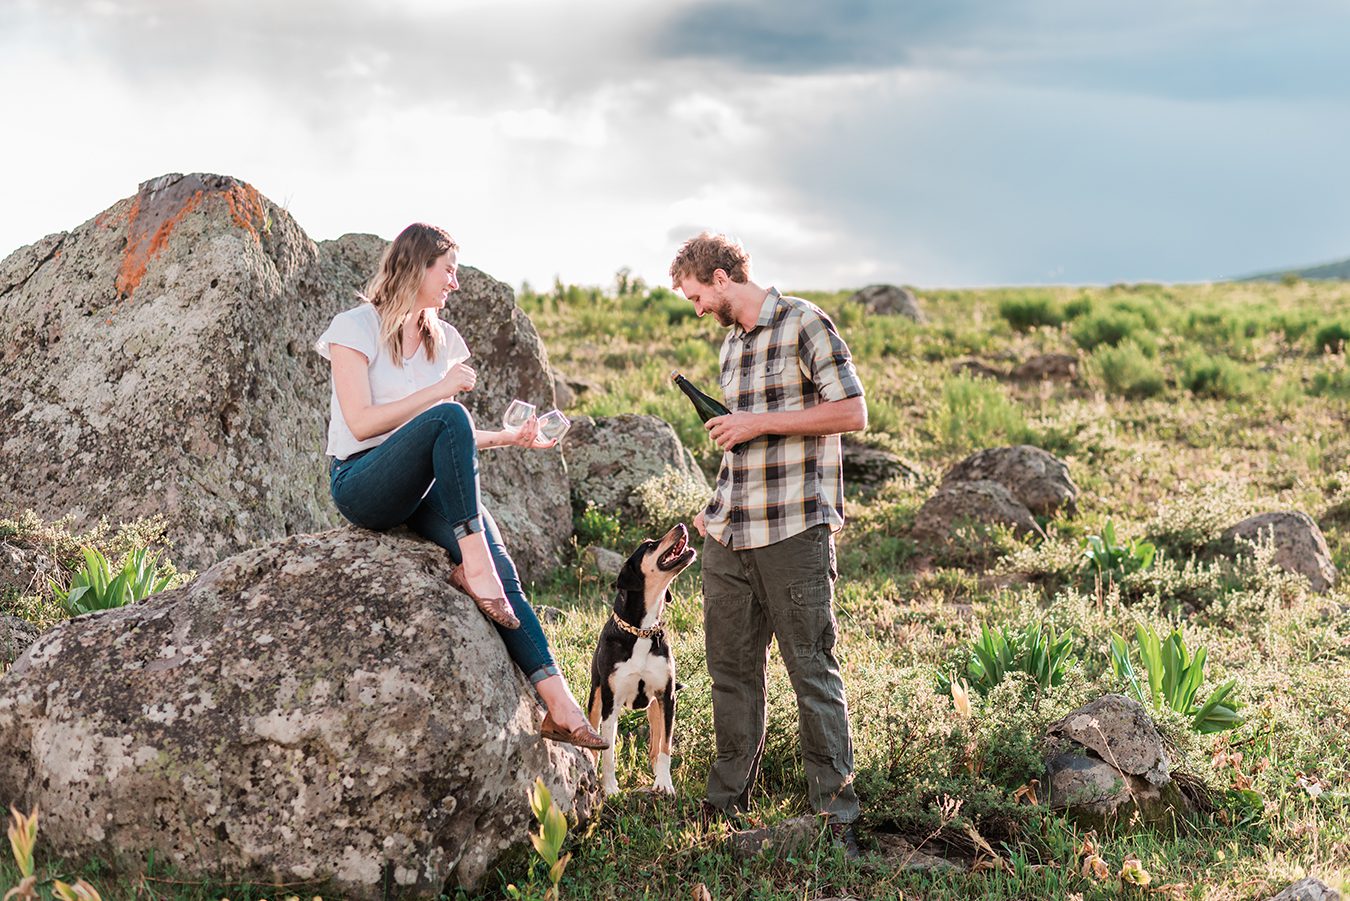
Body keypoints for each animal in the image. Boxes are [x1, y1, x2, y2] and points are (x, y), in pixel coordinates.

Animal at [588, 521, 696, 794]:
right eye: (649, 545)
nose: (681, 525)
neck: (641, 631)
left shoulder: (667, 697)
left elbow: (665, 748)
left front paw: (664, 783)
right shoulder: (610, 703)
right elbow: (608, 752)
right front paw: (611, 788)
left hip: (655, 707)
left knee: (656, 746)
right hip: (595, 696)